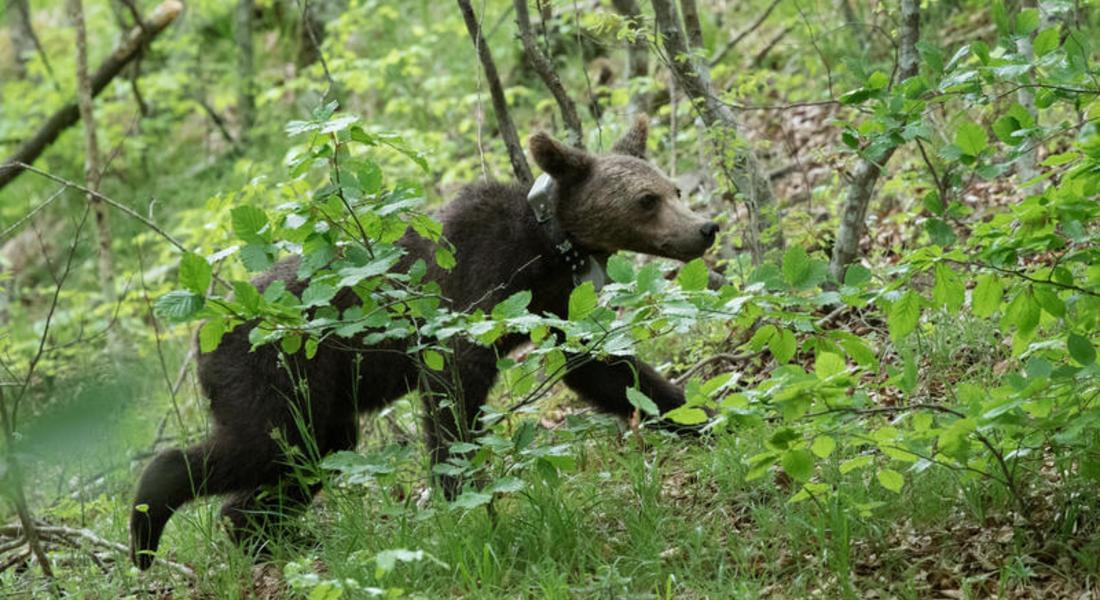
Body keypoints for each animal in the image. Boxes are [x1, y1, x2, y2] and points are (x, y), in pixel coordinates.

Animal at [128, 115, 717, 568]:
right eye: (646, 199)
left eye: (674, 189)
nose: (705, 227)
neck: (548, 250)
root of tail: (201, 335)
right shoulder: (472, 297)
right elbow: (453, 393)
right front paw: (468, 505)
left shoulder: (558, 306)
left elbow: (606, 371)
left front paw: (701, 417)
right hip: (271, 374)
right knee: (256, 445)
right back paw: (147, 529)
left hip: (323, 404)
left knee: (308, 455)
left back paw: (274, 539)